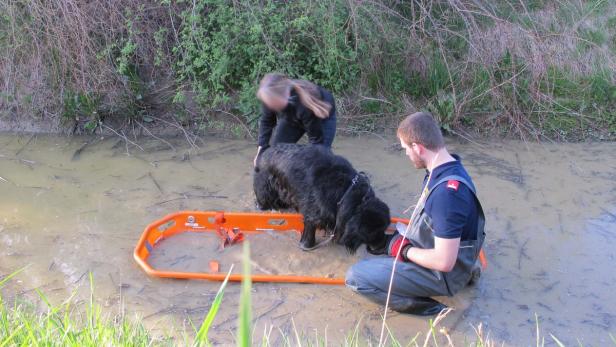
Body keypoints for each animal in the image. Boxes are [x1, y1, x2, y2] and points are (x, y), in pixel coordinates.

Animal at [254, 143, 390, 254]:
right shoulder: (313, 211)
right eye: (372, 233)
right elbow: (310, 226)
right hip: (265, 186)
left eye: (384, 228)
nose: (383, 246)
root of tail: (266, 151)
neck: (347, 192)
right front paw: (307, 245)